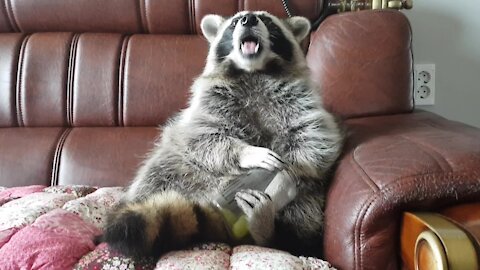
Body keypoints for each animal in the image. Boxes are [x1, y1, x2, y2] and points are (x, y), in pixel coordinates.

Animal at [101, 10, 344, 258]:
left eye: (267, 21)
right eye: (235, 22)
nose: (249, 19)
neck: (253, 71)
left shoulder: (301, 98)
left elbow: (315, 138)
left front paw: (287, 175)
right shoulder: (207, 102)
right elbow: (203, 137)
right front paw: (248, 153)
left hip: (309, 201)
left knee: (301, 218)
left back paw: (267, 230)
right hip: (172, 168)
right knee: (158, 174)